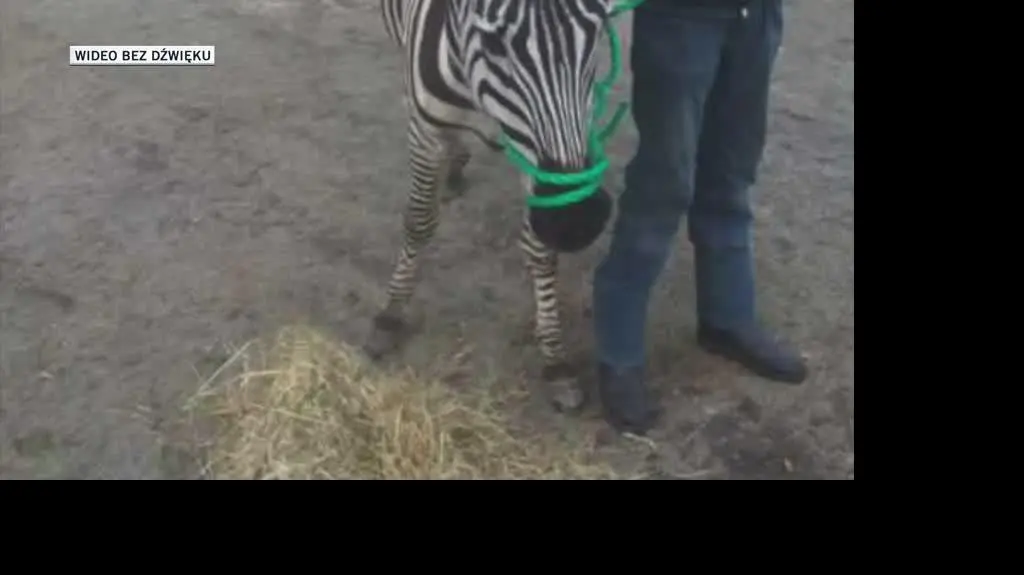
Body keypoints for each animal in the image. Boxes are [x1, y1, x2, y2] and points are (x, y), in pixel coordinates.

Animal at [367, 0, 624, 413]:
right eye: (492, 43)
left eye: (598, 32)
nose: (576, 221)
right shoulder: (426, 130)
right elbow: (419, 220)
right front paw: (391, 313)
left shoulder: (534, 156)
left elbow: (539, 248)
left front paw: (555, 357)